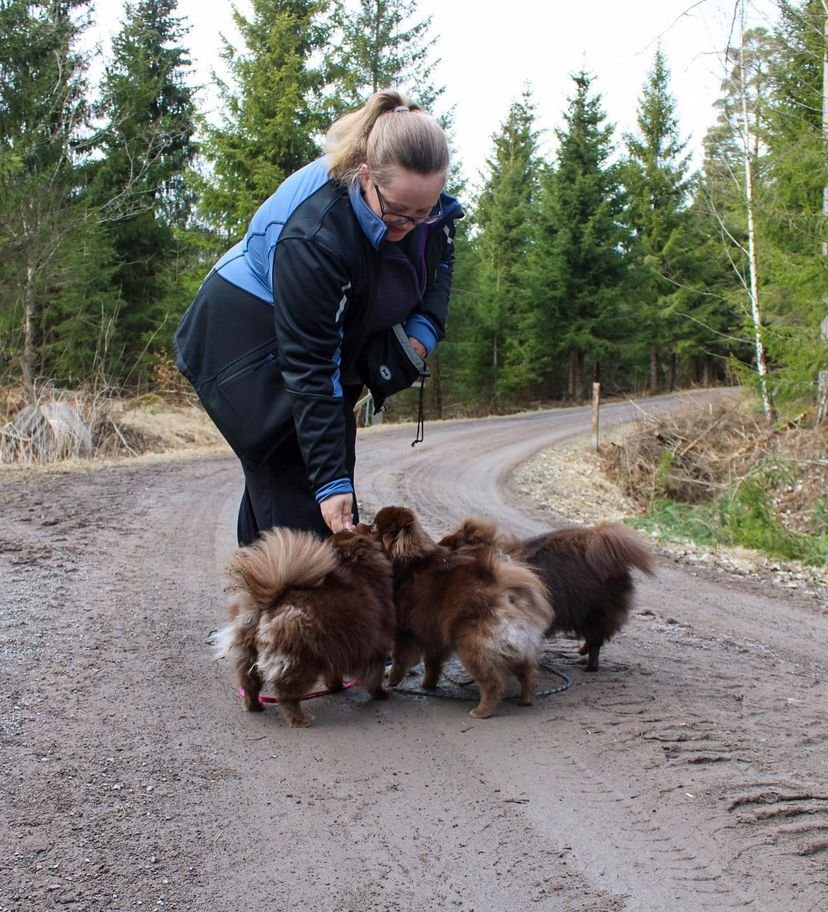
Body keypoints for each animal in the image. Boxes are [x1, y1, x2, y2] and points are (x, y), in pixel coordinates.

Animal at [213, 528, 394, 728]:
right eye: (370, 530)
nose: (367, 526)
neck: (360, 572)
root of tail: (269, 605)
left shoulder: (336, 649)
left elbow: (334, 673)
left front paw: (335, 686)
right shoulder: (376, 648)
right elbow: (374, 678)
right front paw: (382, 694)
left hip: (248, 654)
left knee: (250, 684)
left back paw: (255, 706)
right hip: (302, 662)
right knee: (286, 695)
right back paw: (300, 720)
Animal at [368, 506, 548, 720]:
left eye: (374, 528)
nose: (362, 526)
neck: (408, 561)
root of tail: (503, 588)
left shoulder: (406, 631)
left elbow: (400, 659)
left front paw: (393, 679)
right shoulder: (434, 632)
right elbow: (432, 663)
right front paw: (428, 683)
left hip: (470, 643)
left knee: (493, 683)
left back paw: (481, 711)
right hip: (516, 646)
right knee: (528, 672)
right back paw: (526, 699)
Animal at [436, 520, 656, 668]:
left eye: (448, 543)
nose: (438, 544)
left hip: (593, 611)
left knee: (595, 641)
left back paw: (589, 666)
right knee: (595, 639)